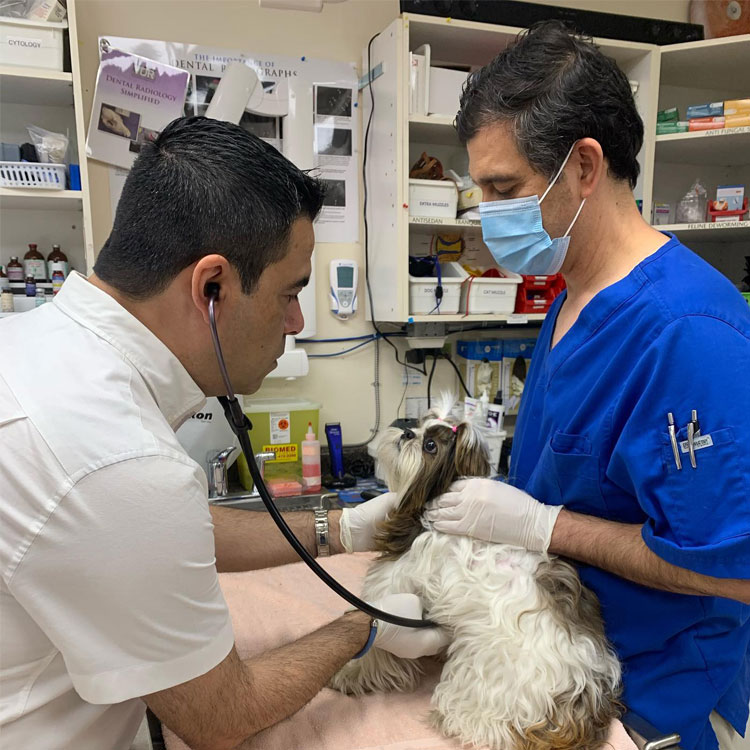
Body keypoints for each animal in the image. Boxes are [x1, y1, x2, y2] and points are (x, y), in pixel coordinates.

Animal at [334, 402, 624, 750]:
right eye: (419, 424)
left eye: (430, 445)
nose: (407, 433)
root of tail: (582, 698)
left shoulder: (392, 589)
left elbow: (377, 644)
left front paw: (350, 673)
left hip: (486, 676)